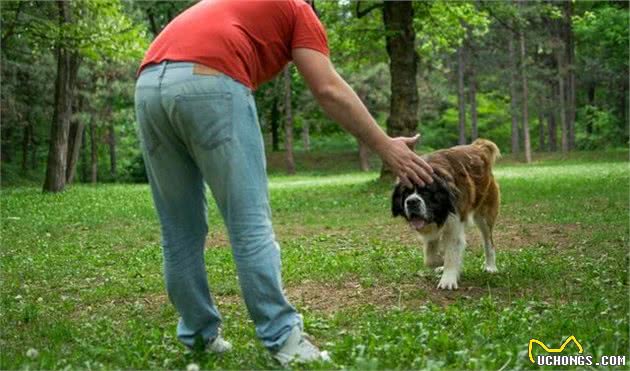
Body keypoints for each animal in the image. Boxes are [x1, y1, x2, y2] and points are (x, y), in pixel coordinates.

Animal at [392, 140, 502, 290]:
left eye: (426, 192)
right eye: (405, 193)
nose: (412, 201)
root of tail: (477, 146)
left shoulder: (454, 223)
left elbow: (451, 253)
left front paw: (448, 279)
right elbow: (430, 256)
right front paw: (440, 262)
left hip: (484, 215)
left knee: (488, 241)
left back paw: (491, 266)